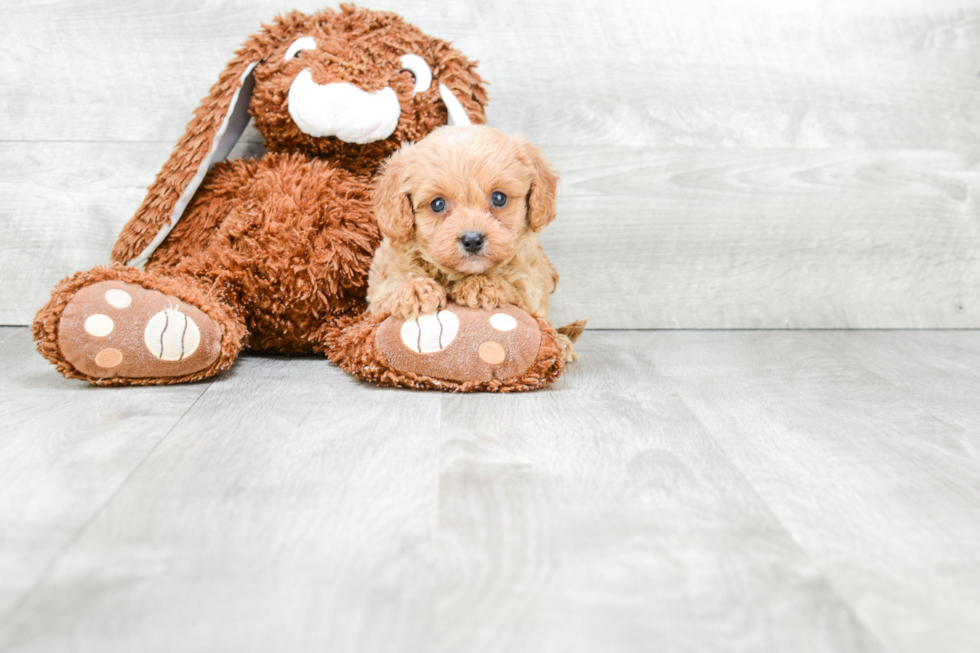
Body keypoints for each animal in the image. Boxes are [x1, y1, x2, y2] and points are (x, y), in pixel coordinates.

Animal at [368, 125, 580, 360]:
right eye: (437, 204)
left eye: (499, 198)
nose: (472, 240)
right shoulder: (377, 296)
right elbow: (388, 291)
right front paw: (414, 290)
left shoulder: (530, 289)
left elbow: (520, 299)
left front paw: (481, 285)